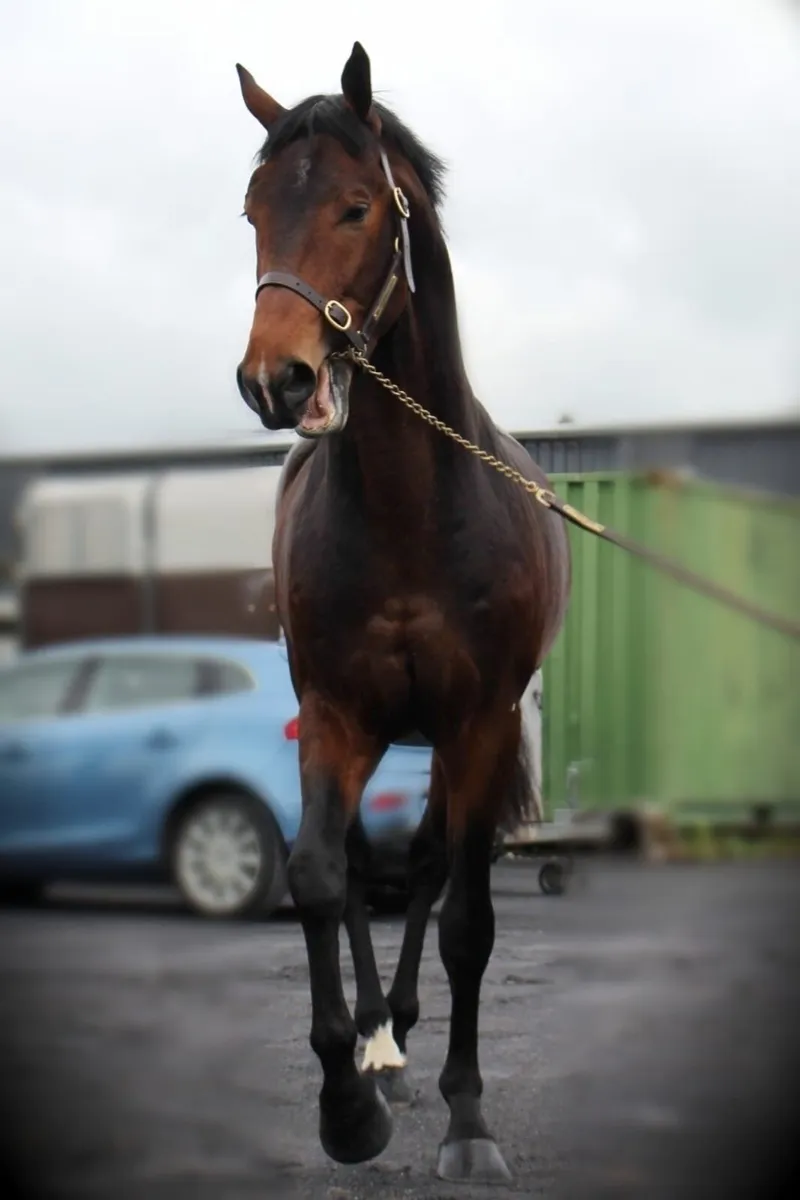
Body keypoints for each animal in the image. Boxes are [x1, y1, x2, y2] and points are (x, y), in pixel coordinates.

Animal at [233, 41, 571, 1183]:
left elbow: (465, 917)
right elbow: (317, 877)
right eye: (252, 209)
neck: (410, 512)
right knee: (360, 876)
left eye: (354, 208)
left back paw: (407, 1033)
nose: (277, 380)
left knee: (425, 872)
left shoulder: (477, 725)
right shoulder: (336, 715)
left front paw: (468, 1123)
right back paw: (378, 1046)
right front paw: (345, 1102)